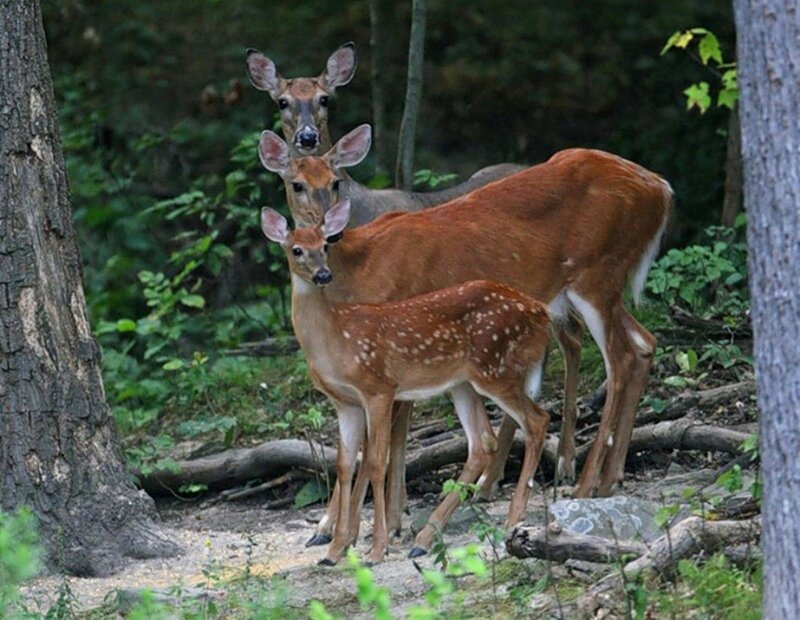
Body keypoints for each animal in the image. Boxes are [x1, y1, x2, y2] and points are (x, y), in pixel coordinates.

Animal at [261, 199, 552, 565]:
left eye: (325, 245)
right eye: (296, 249)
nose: (323, 274)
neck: (335, 340)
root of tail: (541, 313)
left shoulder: (379, 388)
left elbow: (376, 462)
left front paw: (376, 548)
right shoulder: (345, 403)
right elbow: (344, 464)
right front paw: (335, 549)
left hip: (494, 367)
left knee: (537, 420)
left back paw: (513, 521)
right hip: (463, 383)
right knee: (482, 443)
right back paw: (425, 538)